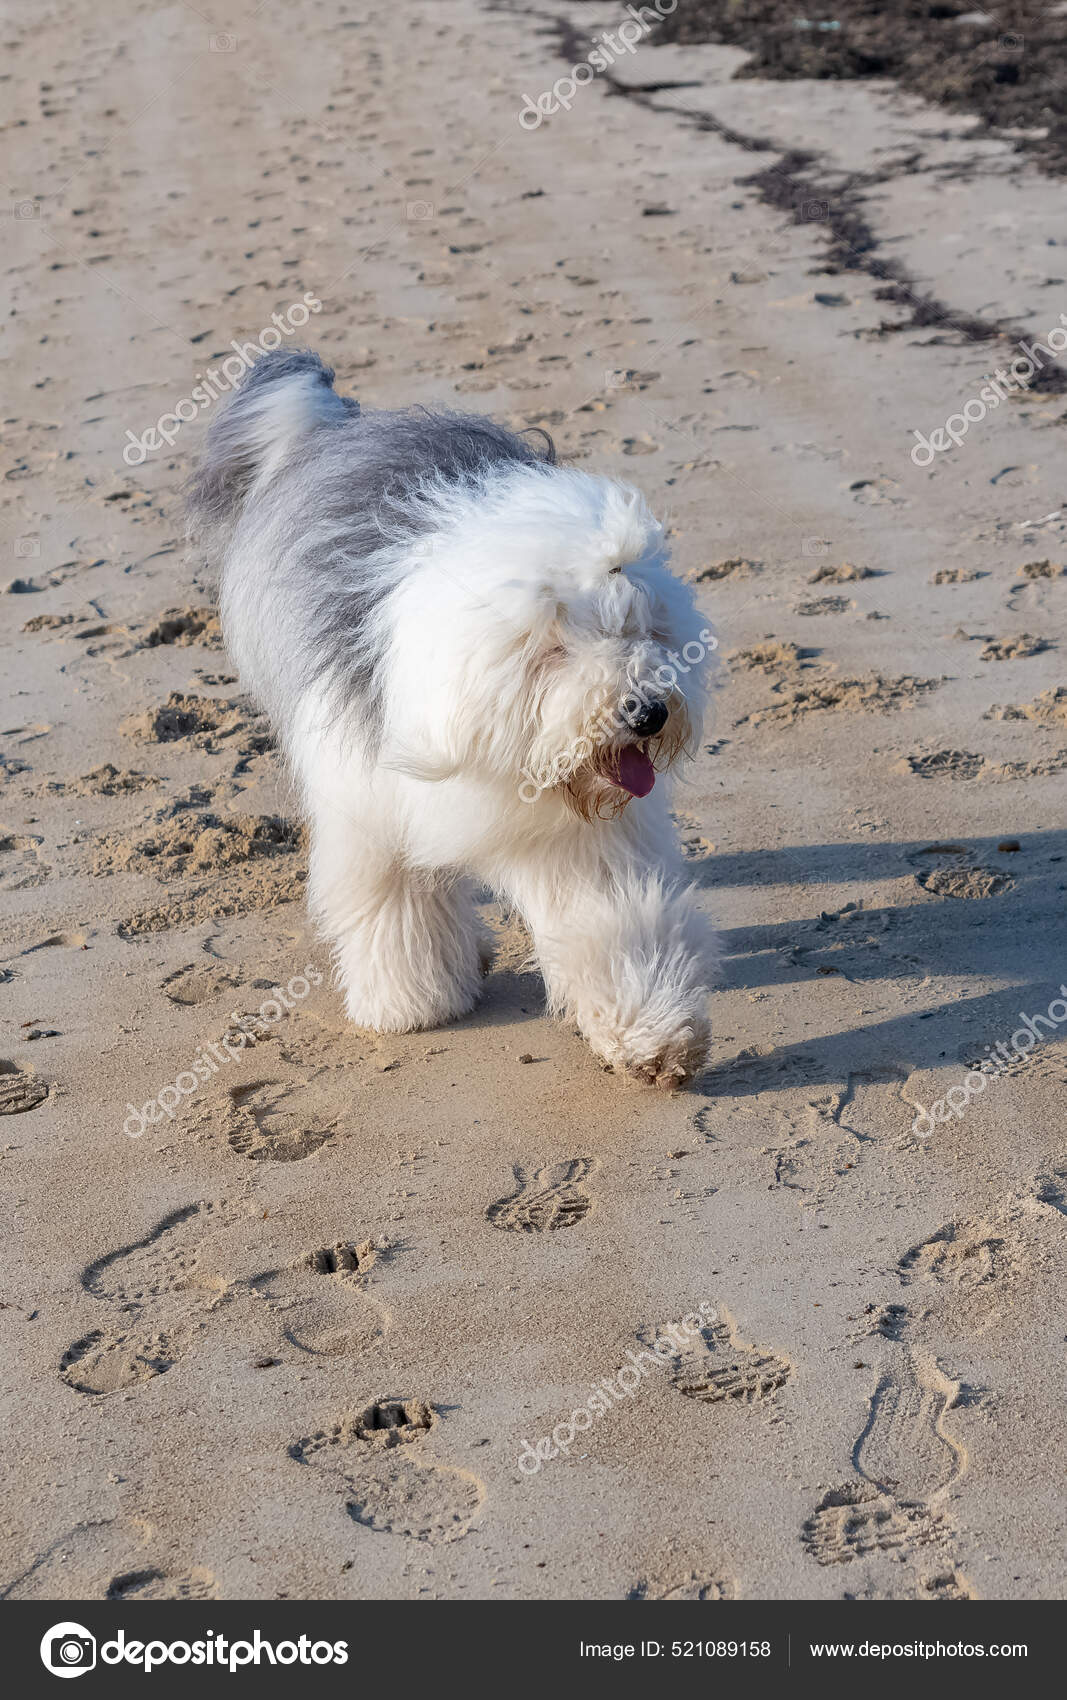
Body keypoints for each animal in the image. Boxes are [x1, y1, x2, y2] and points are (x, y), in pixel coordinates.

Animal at [196, 350, 720, 1088]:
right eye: (556, 647)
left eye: (640, 628)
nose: (647, 711)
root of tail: (349, 425)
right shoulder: (370, 803)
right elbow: (396, 903)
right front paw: (414, 1003)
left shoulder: (577, 840)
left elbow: (611, 915)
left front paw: (652, 1035)